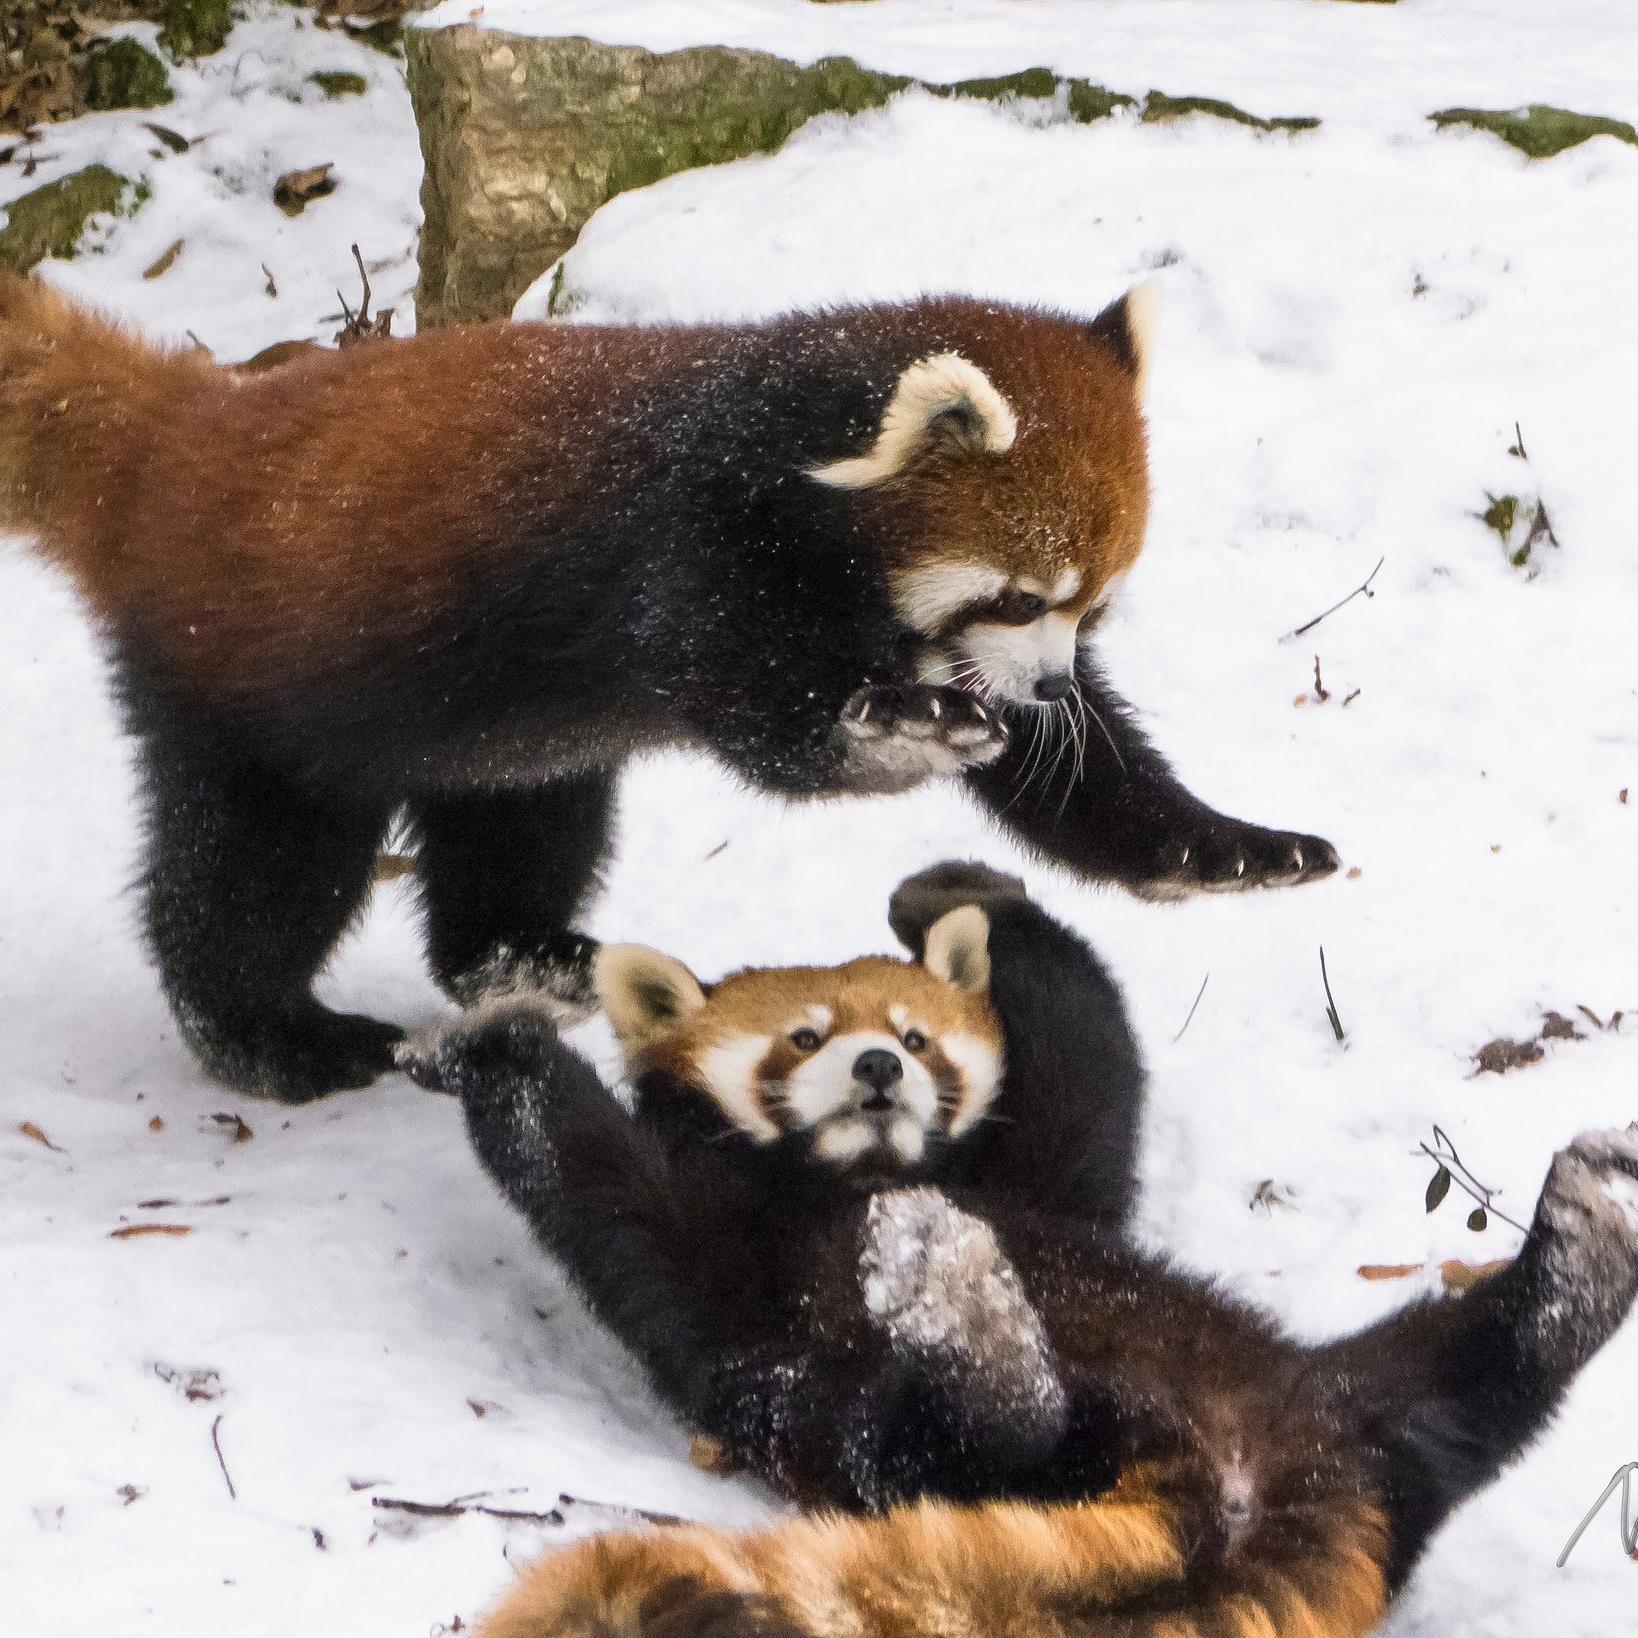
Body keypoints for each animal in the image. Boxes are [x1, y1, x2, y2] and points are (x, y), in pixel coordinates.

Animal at [0, 275, 1330, 1100]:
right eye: (1015, 596)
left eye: (1089, 606)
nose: (1043, 690)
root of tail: (183, 437)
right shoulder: (688, 553)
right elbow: (773, 734)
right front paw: (902, 725)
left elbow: (1088, 783)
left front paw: (1221, 850)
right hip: (254, 683)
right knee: (253, 875)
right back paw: (267, 1036)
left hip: (504, 736)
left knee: (521, 836)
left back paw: (530, 957)